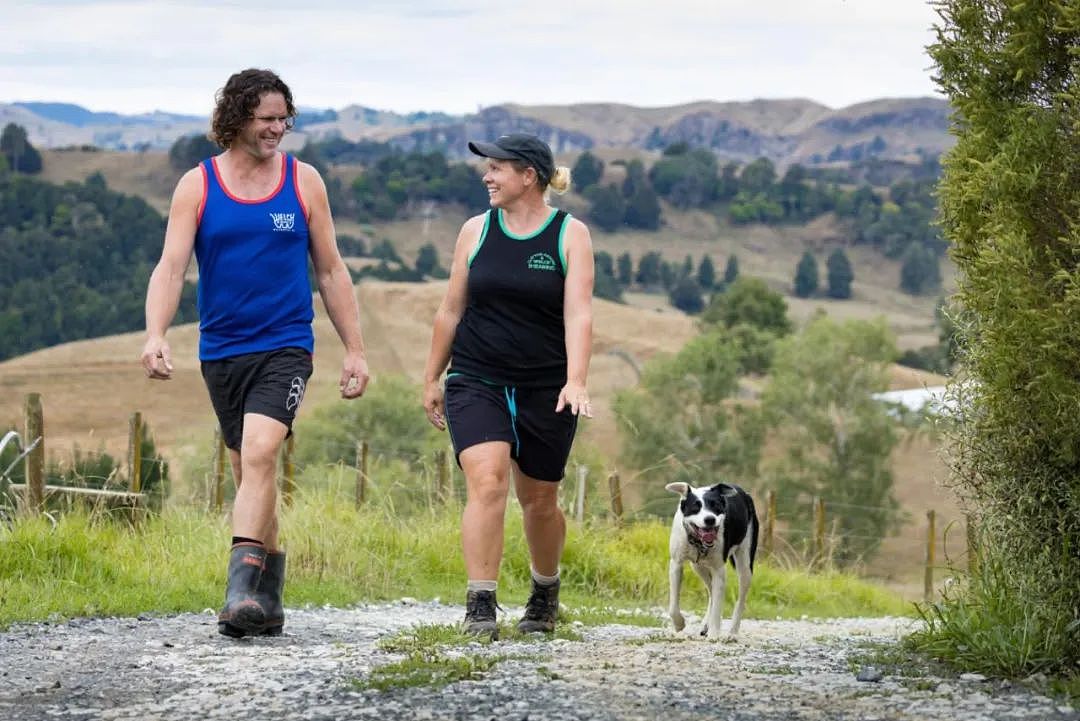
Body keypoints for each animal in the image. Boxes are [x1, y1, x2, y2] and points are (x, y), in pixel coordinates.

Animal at [665, 481, 760, 638]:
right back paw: (705, 625)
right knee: (710, 591)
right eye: (695, 507)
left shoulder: (719, 570)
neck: (698, 542)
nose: (710, 519)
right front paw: (679, 624)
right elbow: (673, 606)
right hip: (698, 567)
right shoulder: (676, 564)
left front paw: (714, 634)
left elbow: (718, 605)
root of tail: (745, 493)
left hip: (745, 565)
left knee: (740, 599)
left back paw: (732, 631)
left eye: (716, 505)